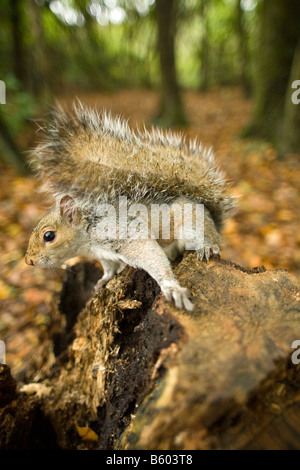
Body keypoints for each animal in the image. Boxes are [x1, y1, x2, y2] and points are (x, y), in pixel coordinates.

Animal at [25, 101, 236, 310]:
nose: (29, 260)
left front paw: (171, 287)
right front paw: (103, 280)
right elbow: (109, 269)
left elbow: (148, 253)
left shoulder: (120, 233)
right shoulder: (104, 256)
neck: (88, 235)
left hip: (190, 219)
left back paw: (206, 246)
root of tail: (213, 220)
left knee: (202, 234)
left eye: (49, 236)